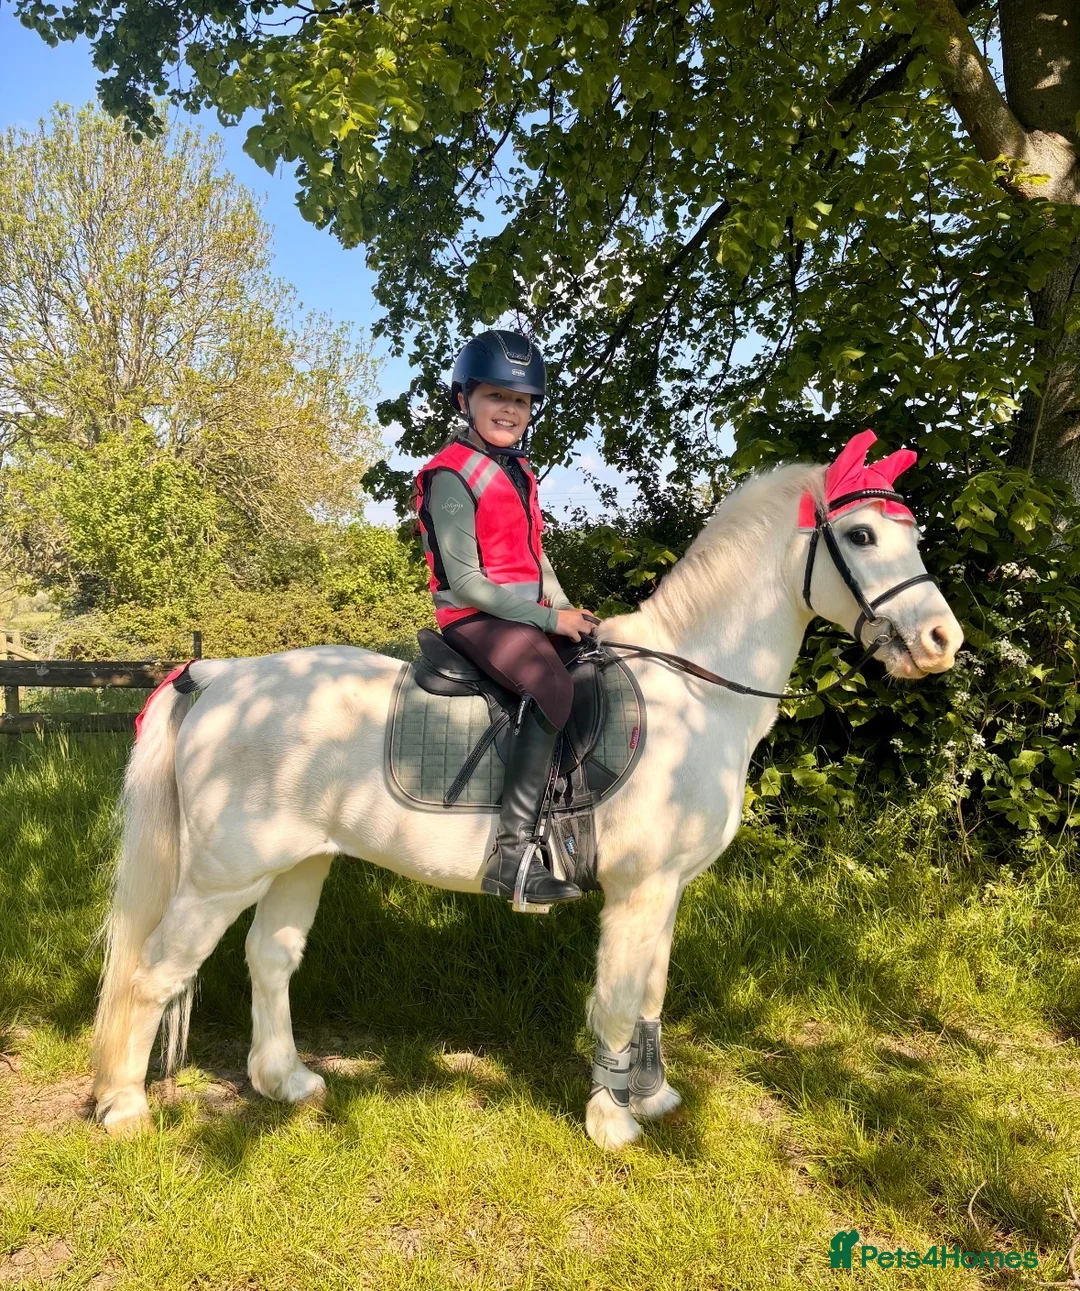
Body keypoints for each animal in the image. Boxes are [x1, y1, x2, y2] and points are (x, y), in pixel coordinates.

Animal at [91, 446, 963, 1150]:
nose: (942, 641)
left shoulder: (668, 890)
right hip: (220, 876)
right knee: (155, 970)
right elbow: (618, 1002)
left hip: (299, 861)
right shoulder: (639, 890)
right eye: (862, 536)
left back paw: (286, 1081)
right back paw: (125, 1108)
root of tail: (221, 676)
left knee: (270, 958)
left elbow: (652, 994)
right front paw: (612, 1121)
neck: (695, 688)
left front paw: (652, 1098)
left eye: (913, 534)